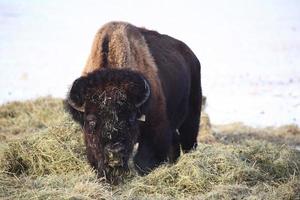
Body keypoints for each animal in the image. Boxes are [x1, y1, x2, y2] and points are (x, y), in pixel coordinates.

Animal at [65, 21, 202, 183]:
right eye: (91, 120)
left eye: (130, 118)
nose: (114, 153)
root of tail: (192, 57)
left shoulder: (155, 129)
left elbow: (143, 160)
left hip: (192, 114)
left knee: (188, 140)